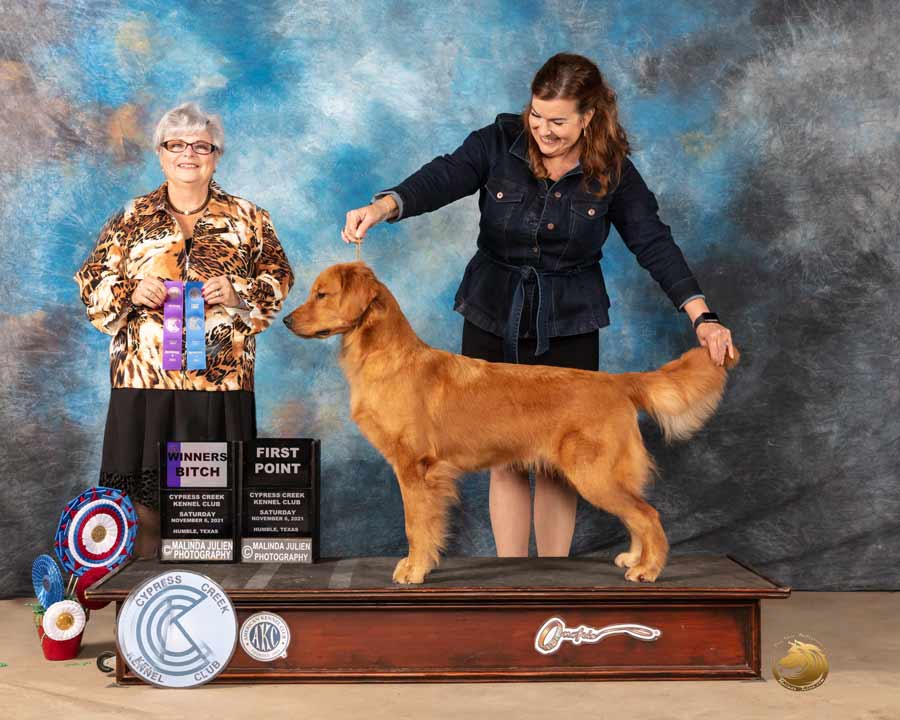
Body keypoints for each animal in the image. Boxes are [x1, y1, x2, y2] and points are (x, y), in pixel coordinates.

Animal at [284, 264, 740, 584]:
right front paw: (422, 566)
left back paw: (649, 569)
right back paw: (635, 557)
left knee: (649, 515)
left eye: (321, 294)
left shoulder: (416, 468)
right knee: (638, 514)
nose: (287, 321)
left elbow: (416, 525)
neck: (383, 355)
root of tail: (617, 381)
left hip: (593, 473)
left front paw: (414, 570)